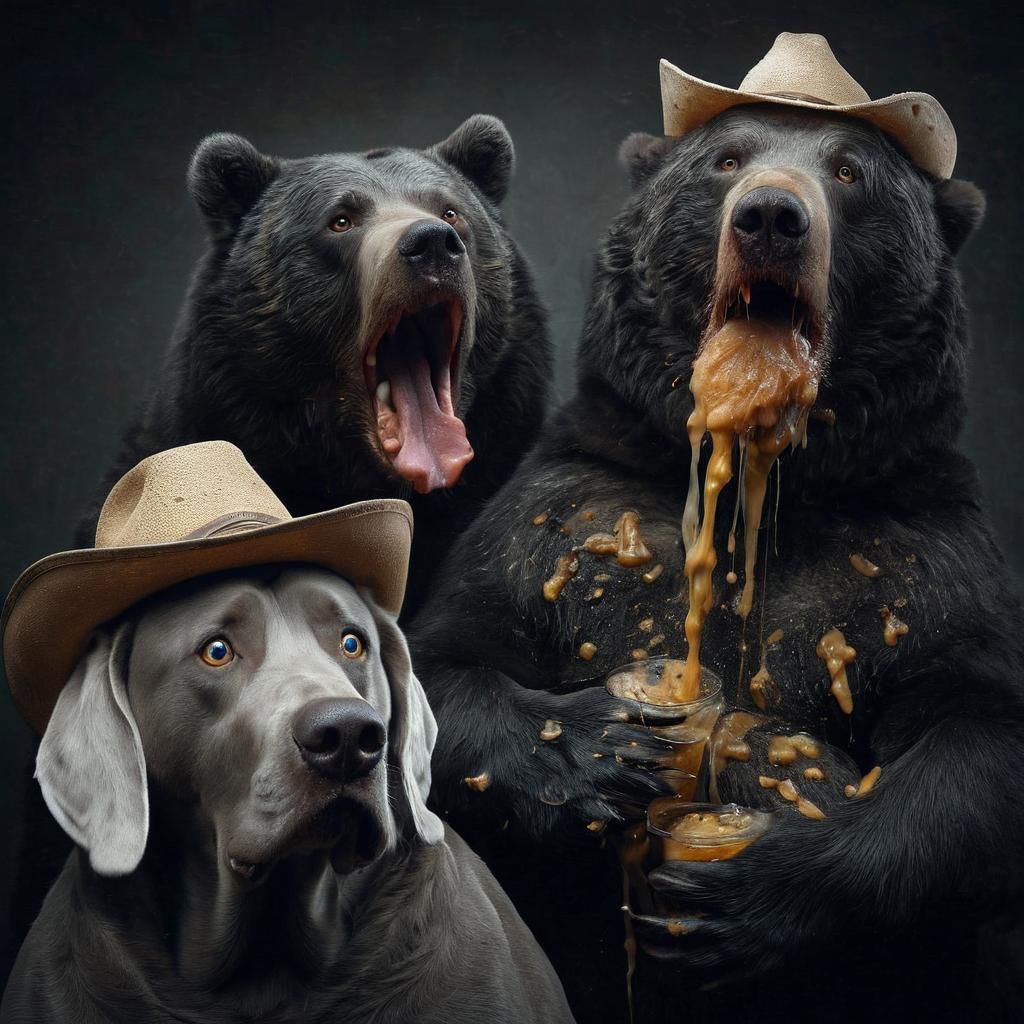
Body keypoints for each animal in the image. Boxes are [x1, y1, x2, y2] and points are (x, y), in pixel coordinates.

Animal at [407, 103, 1024, 1023]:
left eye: (851, 171)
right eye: (726, 160)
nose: (770, 216)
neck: (769, 486)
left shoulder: (916, 557)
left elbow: (976, 739)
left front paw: (750, 889)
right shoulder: (566, 515)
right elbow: (447, 655)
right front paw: (601, 749)